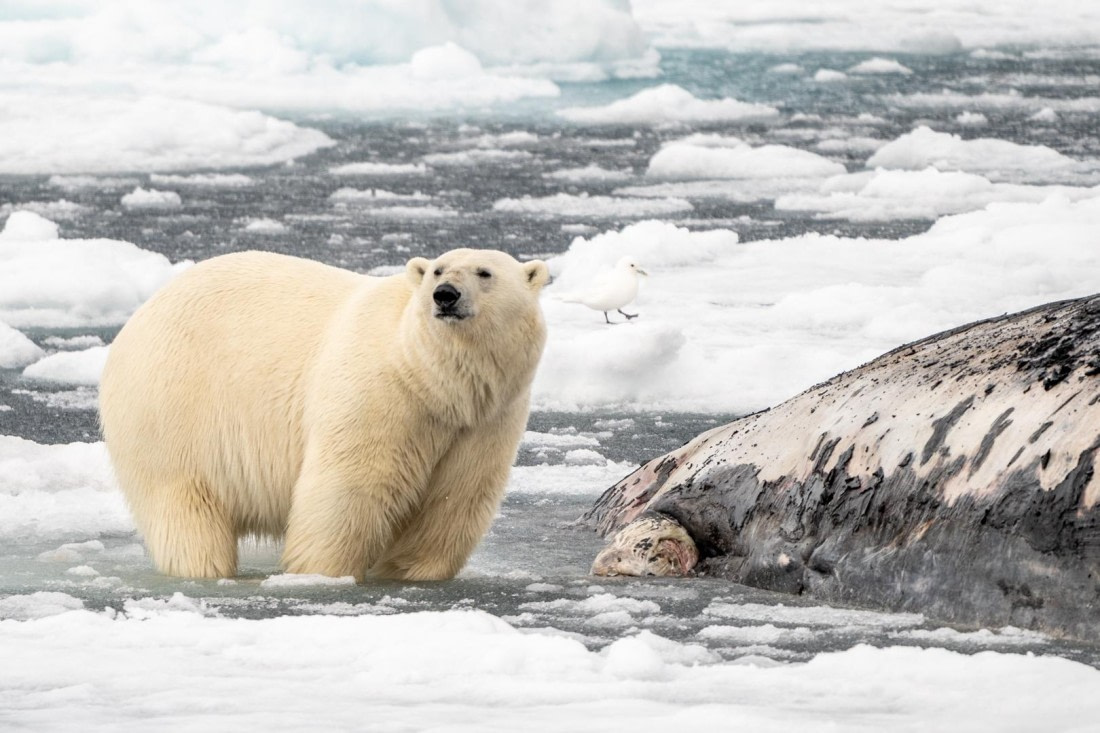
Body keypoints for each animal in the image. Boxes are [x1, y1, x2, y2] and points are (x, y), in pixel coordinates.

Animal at [98, 248, 550, 582]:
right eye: (437, 269)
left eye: (485, 272)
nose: (445, 294)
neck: (428, 378)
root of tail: (140, 316)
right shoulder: (378, 394)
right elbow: (349, 488)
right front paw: (323, 572)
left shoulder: (485, 420)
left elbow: (455, 497)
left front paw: (410, 571)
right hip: (173, 408)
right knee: (184, 507)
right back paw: (206, 568)